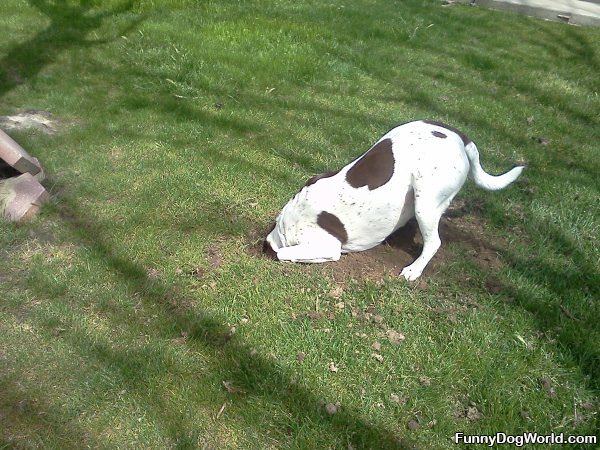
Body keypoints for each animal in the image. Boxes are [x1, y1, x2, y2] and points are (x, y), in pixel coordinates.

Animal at [264, 121, 524, 280]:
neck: (288, 222)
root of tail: (459, 136)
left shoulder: (327, 246)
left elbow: (282, 253)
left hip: (425, 201)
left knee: (434, 242)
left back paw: (414, 270)